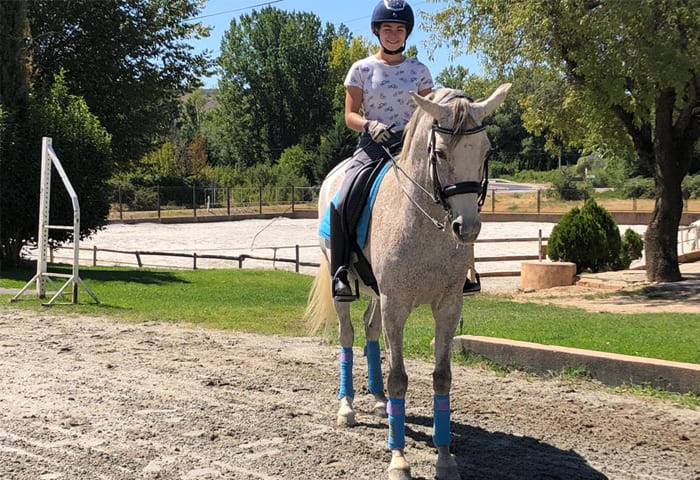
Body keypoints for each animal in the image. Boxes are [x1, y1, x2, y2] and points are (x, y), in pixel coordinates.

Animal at [304, 84, 508, 478]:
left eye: (486, 149)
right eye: (440, 152)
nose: (467, 228)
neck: (424, 223)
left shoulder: (447, 307)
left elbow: (442, 377)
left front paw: (444, 458)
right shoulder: (396, 305)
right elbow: (399, 377)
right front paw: (398, 459)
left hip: (377, 294)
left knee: (370, 329)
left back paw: (378, 398)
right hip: (349, 291)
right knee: (348, 336)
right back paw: (347, 407)